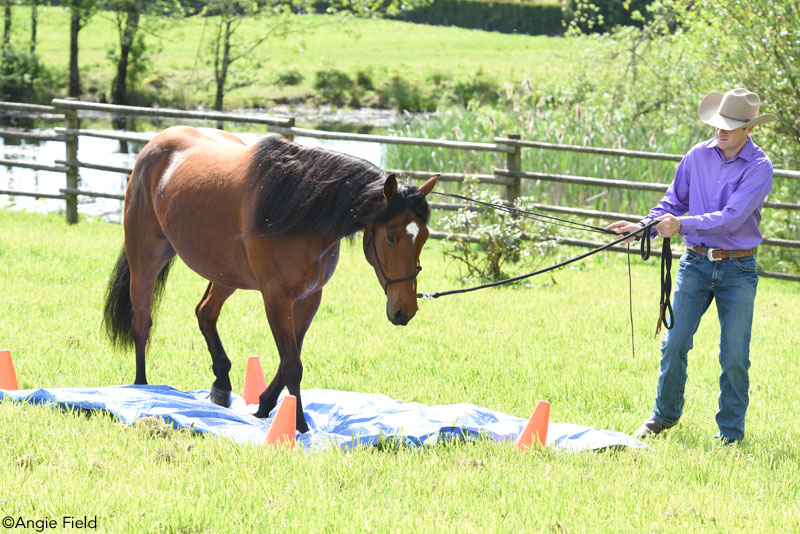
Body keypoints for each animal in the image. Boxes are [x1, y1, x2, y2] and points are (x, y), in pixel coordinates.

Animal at [101, 127, 438, 434]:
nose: (405, 310)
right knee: (142, 322)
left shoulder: (309, 298)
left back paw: (221, 384)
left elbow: (292, 355)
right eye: (390, 237)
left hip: (226, 273)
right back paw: (142, 390)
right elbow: (292, 364)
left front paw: (264, 404)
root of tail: (154, 145)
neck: (300, 212)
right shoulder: (276, 296)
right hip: (146, 261)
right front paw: (298, 424)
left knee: (205, 312)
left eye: (423, 236)